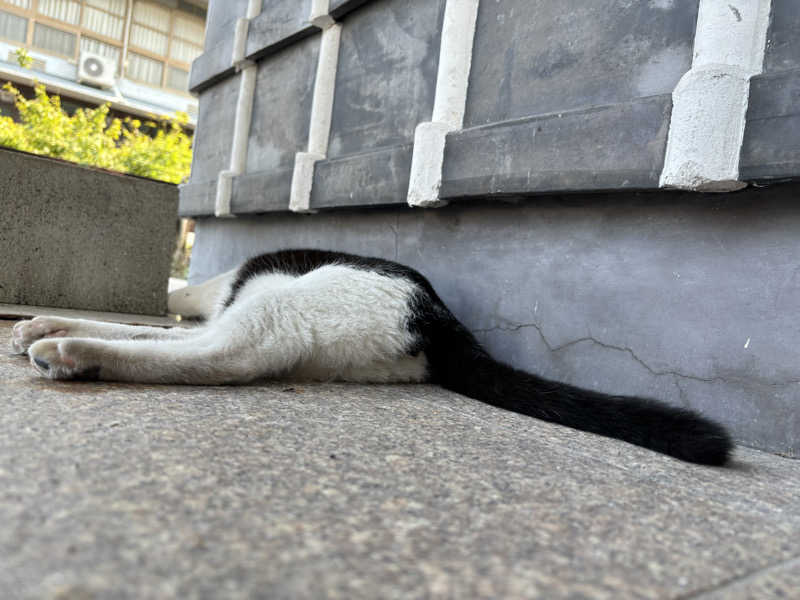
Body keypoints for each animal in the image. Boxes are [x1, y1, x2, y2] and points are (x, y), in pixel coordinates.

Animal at [9, 248, 732, 464]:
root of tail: (444, 322)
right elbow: (148, 330)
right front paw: (40, 318)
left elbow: (160, 330)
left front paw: (55, 329)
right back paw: (57, 338)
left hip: (292, 299)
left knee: (230, 356)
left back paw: (69, 353)